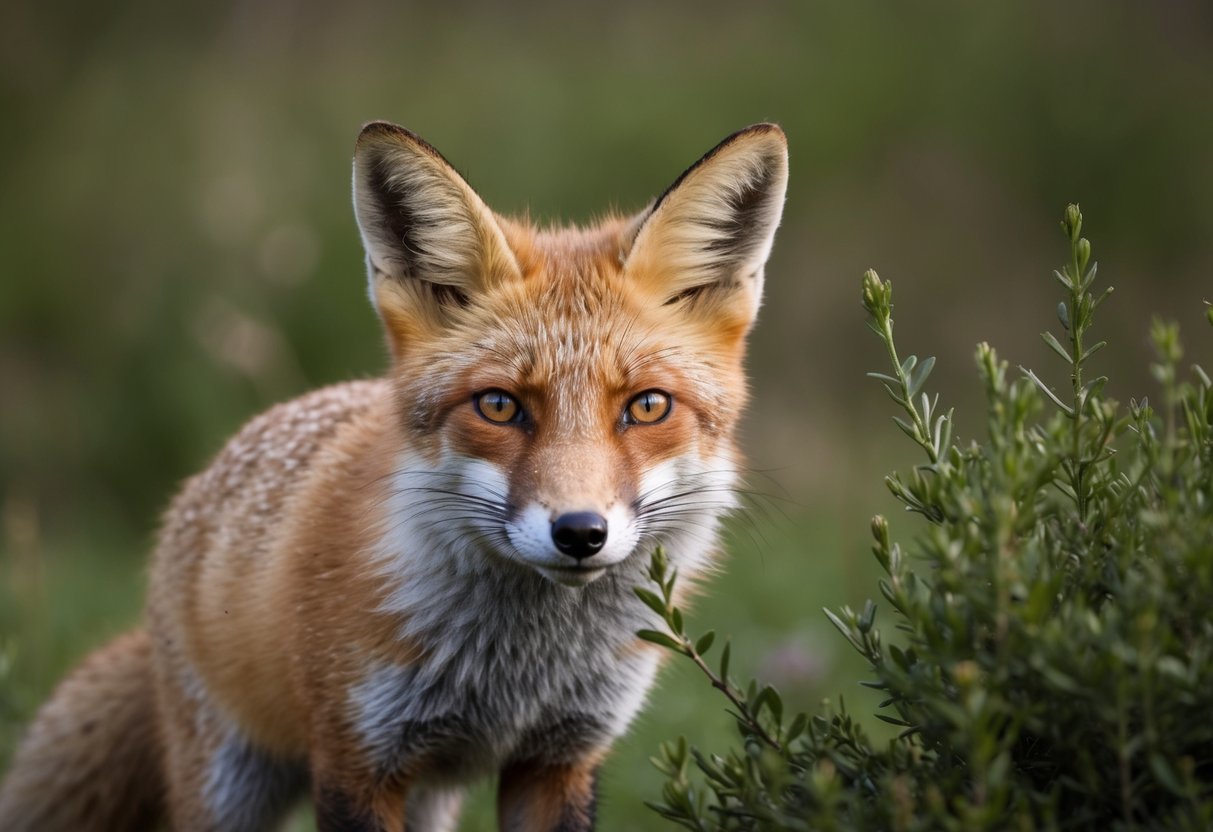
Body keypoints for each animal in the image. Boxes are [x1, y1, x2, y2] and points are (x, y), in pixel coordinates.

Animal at [0, 121, 788, 831]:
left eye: (647, 406)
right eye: (499, 405)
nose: (579, 532)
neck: (516, 676)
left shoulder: (560, 759)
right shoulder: (356, 760)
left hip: (432, 793)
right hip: (233, 785)